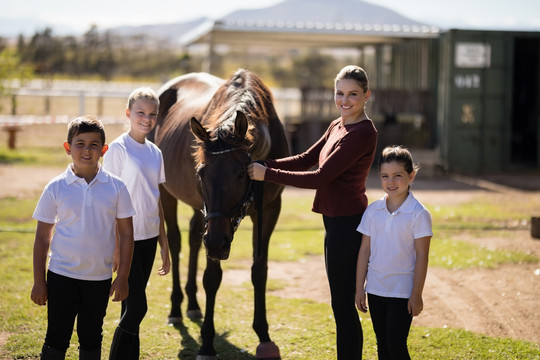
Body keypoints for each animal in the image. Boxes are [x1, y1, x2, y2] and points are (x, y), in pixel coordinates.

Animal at [150, 69, 288, 358]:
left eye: (241, 174)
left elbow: (259, 271)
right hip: (167, 195)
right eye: (201, 172)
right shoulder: (213, 226)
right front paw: (207, 343)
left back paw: (193, 304)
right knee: (176, 242)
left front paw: (264, 334)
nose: (217, 243)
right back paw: (176, 309)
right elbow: (212, 278)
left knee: (193, 238)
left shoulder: (270, 211)